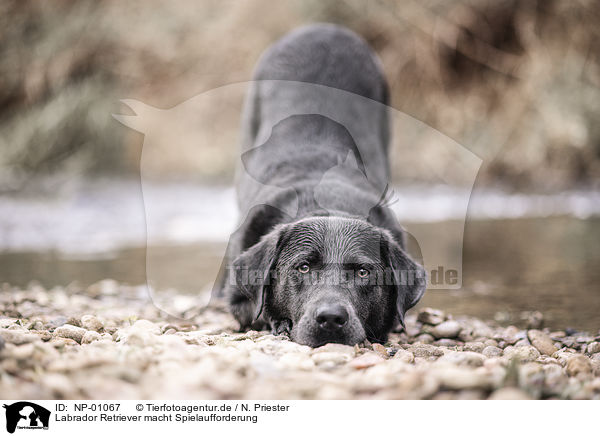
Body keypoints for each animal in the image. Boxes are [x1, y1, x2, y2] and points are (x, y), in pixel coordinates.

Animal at [221, 23, 426, 348]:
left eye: (363, 272)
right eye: (303, 267)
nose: (331, 318)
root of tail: (325, 28)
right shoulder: (241, 297)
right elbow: (258, 310)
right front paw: (280, 322)